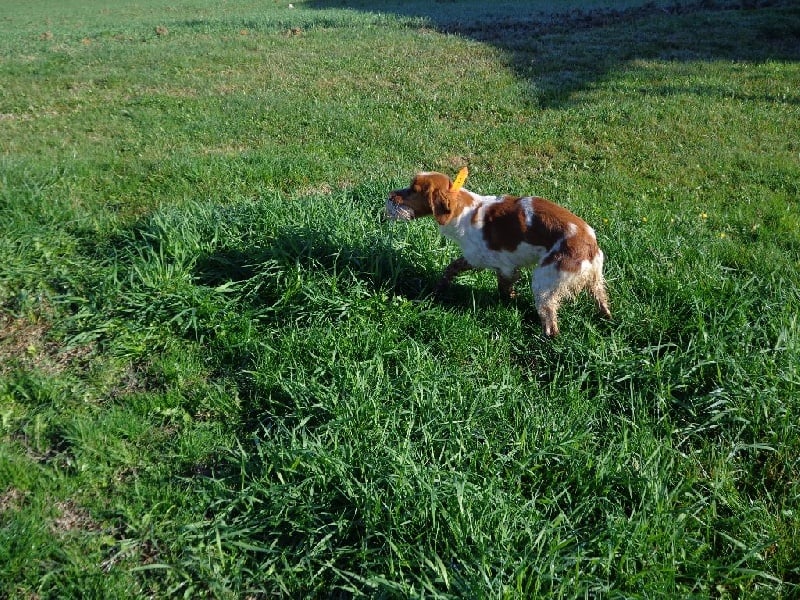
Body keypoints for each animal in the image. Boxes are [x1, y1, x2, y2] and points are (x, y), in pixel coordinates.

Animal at [384, 169, 608, 338]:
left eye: (412, 190)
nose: (389, 196)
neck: (464, 210)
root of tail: (590, 244)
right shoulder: (476, 258)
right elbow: (450, 269)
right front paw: (438, 291)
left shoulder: (501, 266)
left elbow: (503, 287)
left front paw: (510, 301)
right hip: (595, 283)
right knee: (603, 303)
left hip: (544, 283)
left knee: (551, 325)